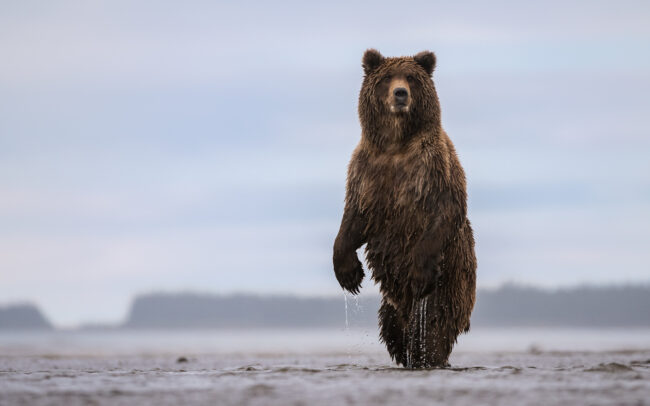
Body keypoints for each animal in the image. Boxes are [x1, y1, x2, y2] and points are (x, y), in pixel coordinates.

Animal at [333, 49, 477, 368]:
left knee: (431, 331)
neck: (395, 144)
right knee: (393, 331)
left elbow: (445, 211)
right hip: (391, 303)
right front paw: (349, 273)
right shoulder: (366, 171)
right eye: (387, 77)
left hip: (450, 286)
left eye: (411, 77)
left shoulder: (433, 167)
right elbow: (354, 216)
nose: (400, 93)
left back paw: (430, 357)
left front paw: (419, 272)